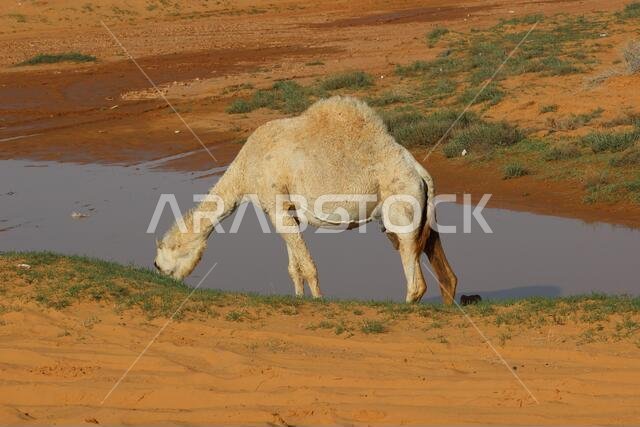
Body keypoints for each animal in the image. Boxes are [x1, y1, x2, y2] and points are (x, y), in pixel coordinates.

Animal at [155, 96, 458, 303]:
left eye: (161, 258)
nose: (158, 272)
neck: (247, 168)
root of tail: (419, 171)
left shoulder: (275, 203)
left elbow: (308, 265)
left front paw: (318, 300)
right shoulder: (287, 211)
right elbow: (294, 266)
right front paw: (300, 298)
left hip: (401, 205)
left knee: (414, 274)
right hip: (417, 213)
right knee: (443, 269)